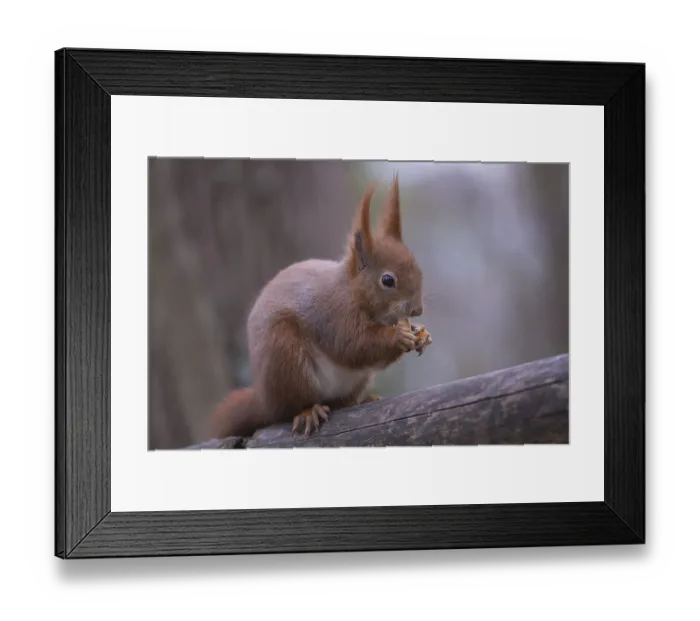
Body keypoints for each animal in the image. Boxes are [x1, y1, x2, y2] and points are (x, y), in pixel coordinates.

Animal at [209, 173, 431, 439]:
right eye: (388, 280)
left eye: (418, 270)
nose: (417, 310)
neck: (353, 293)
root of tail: (265, 399)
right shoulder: (333, 314)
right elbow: (353, 345)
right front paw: (398, 335)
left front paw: (421, 334)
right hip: (285, 355)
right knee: (291, 406)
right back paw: (308, 411)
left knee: (340, 401)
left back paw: (359, 401)